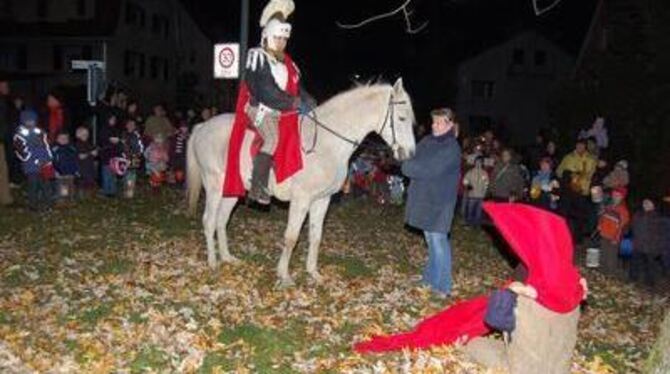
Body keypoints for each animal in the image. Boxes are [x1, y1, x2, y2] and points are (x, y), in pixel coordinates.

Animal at [184, 77, 414, 284]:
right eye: (401, 118)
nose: (409, 154)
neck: (325, 143)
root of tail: (202, 127)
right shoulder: (301, 200)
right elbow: (291, 237)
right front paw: (284, 275)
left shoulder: (322, 200)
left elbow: (316, 236)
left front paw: (313, 273)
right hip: (214, 186)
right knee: (209, 220)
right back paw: (212, 262)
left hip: (231, 190)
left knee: (221, 221)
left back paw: (227, 258)